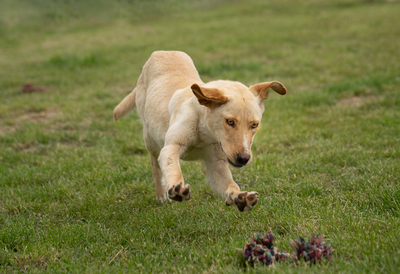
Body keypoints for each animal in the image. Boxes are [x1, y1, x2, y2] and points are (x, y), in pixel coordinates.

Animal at [114, 51, 286, 212]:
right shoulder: (171, 147)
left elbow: (230, 185)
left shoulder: (217, 164)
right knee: (155, 164)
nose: (243, 159)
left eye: (254, 125)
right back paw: (161, 194)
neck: (205, 133)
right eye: (229, 122)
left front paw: (240, 198)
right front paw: (176, 188)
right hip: (151, 140)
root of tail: (162, 52)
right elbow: (172, 168)